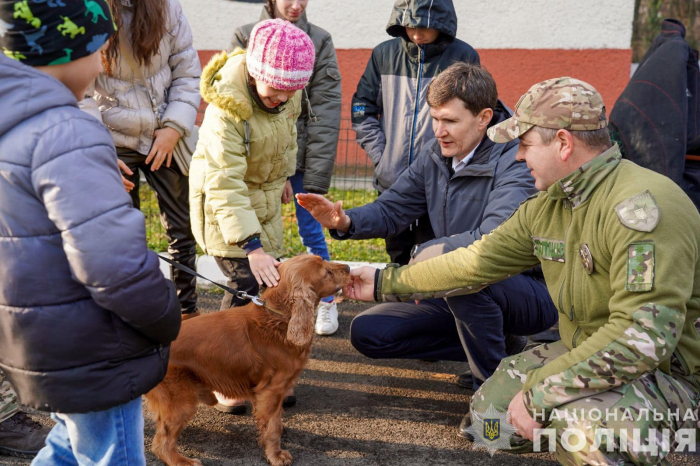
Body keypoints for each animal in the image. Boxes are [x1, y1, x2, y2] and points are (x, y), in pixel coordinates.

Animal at [144, 255, 350, 466]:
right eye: (326, 272)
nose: (349, 268)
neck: (279, 316)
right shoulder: (271, 390)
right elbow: (273, 426)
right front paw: (276, 455)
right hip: (181, 399)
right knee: (161, 442)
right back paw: (182, 461)